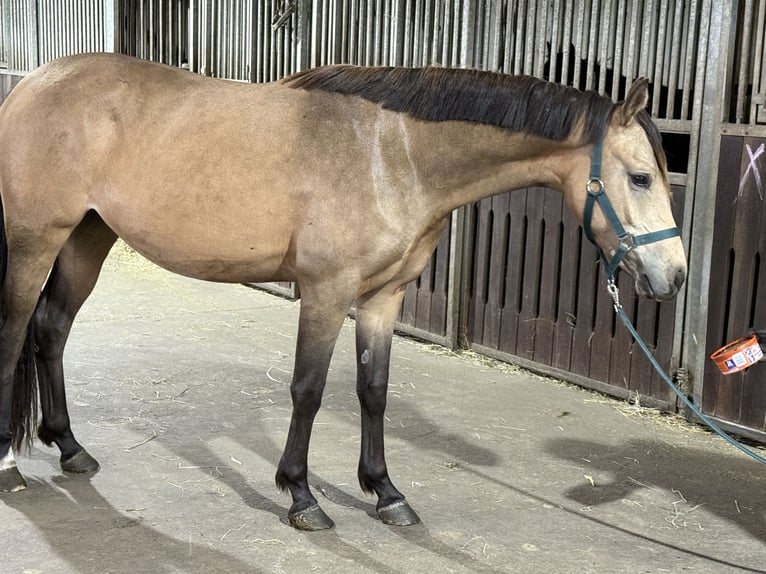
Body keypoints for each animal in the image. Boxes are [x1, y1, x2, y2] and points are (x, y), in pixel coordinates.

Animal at [0, 53, 686, 531]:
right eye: (641, 176)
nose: (674, 277)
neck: (393, 156)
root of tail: (33, 84)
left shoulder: (384, 298)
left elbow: (372, 391)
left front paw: (385, 493)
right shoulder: (326, 293)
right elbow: (308, 390)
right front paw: (301, 496)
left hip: (87, 238)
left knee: (51, 330)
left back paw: (70, 448)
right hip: (35, 242)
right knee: (13, 336)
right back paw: (10, 468)